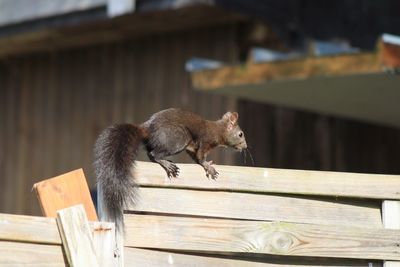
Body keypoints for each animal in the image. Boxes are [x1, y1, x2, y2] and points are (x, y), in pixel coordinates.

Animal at [94, 108, 247, 232]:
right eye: (240, 134)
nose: (245, 147)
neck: (218, 130)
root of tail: (147, 128)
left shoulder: (192, 148)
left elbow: (196, 157)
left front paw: (207, 164)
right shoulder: (205, 141)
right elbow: (201, 157)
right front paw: (208, 167)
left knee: (151, 153)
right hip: (178, 137)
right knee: (154, 154)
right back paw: (167, 164)